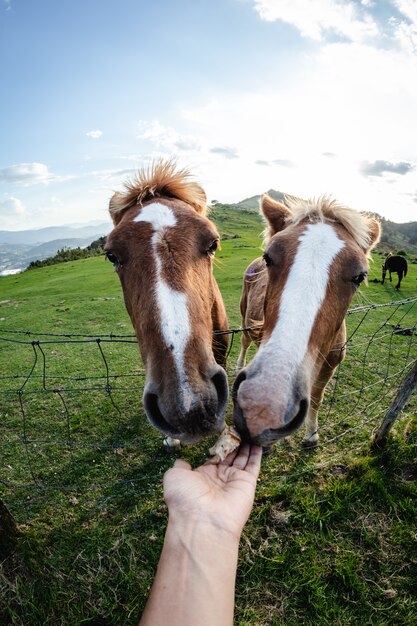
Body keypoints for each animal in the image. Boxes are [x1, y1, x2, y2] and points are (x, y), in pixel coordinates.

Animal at [234, 193, 380, 446]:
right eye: (268, 257)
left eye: (359, 276)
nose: (263, 402)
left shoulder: (330, 366)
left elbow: (317, 399)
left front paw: (312, 434)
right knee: (244, 342)